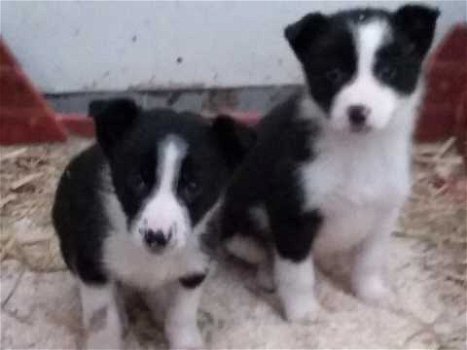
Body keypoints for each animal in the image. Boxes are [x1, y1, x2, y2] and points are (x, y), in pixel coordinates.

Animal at [52, 98, 254, 348]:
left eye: (193, 186)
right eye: (137, 181)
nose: (156, 237)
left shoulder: (196, 266)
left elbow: (182, 315)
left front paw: (186, 341)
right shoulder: (91, 266)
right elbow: (103, 322)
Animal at [221, 5, 440, 322]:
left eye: (388, 72)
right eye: (333, 74)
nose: (357, 112)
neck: (358, 150)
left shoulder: (384, 214)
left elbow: (370, 262)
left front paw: (372, 294)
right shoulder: (293, 215)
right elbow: (297, 274)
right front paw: (304, 314)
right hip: (238, 233)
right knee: (264, 253)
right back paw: (268, 277)